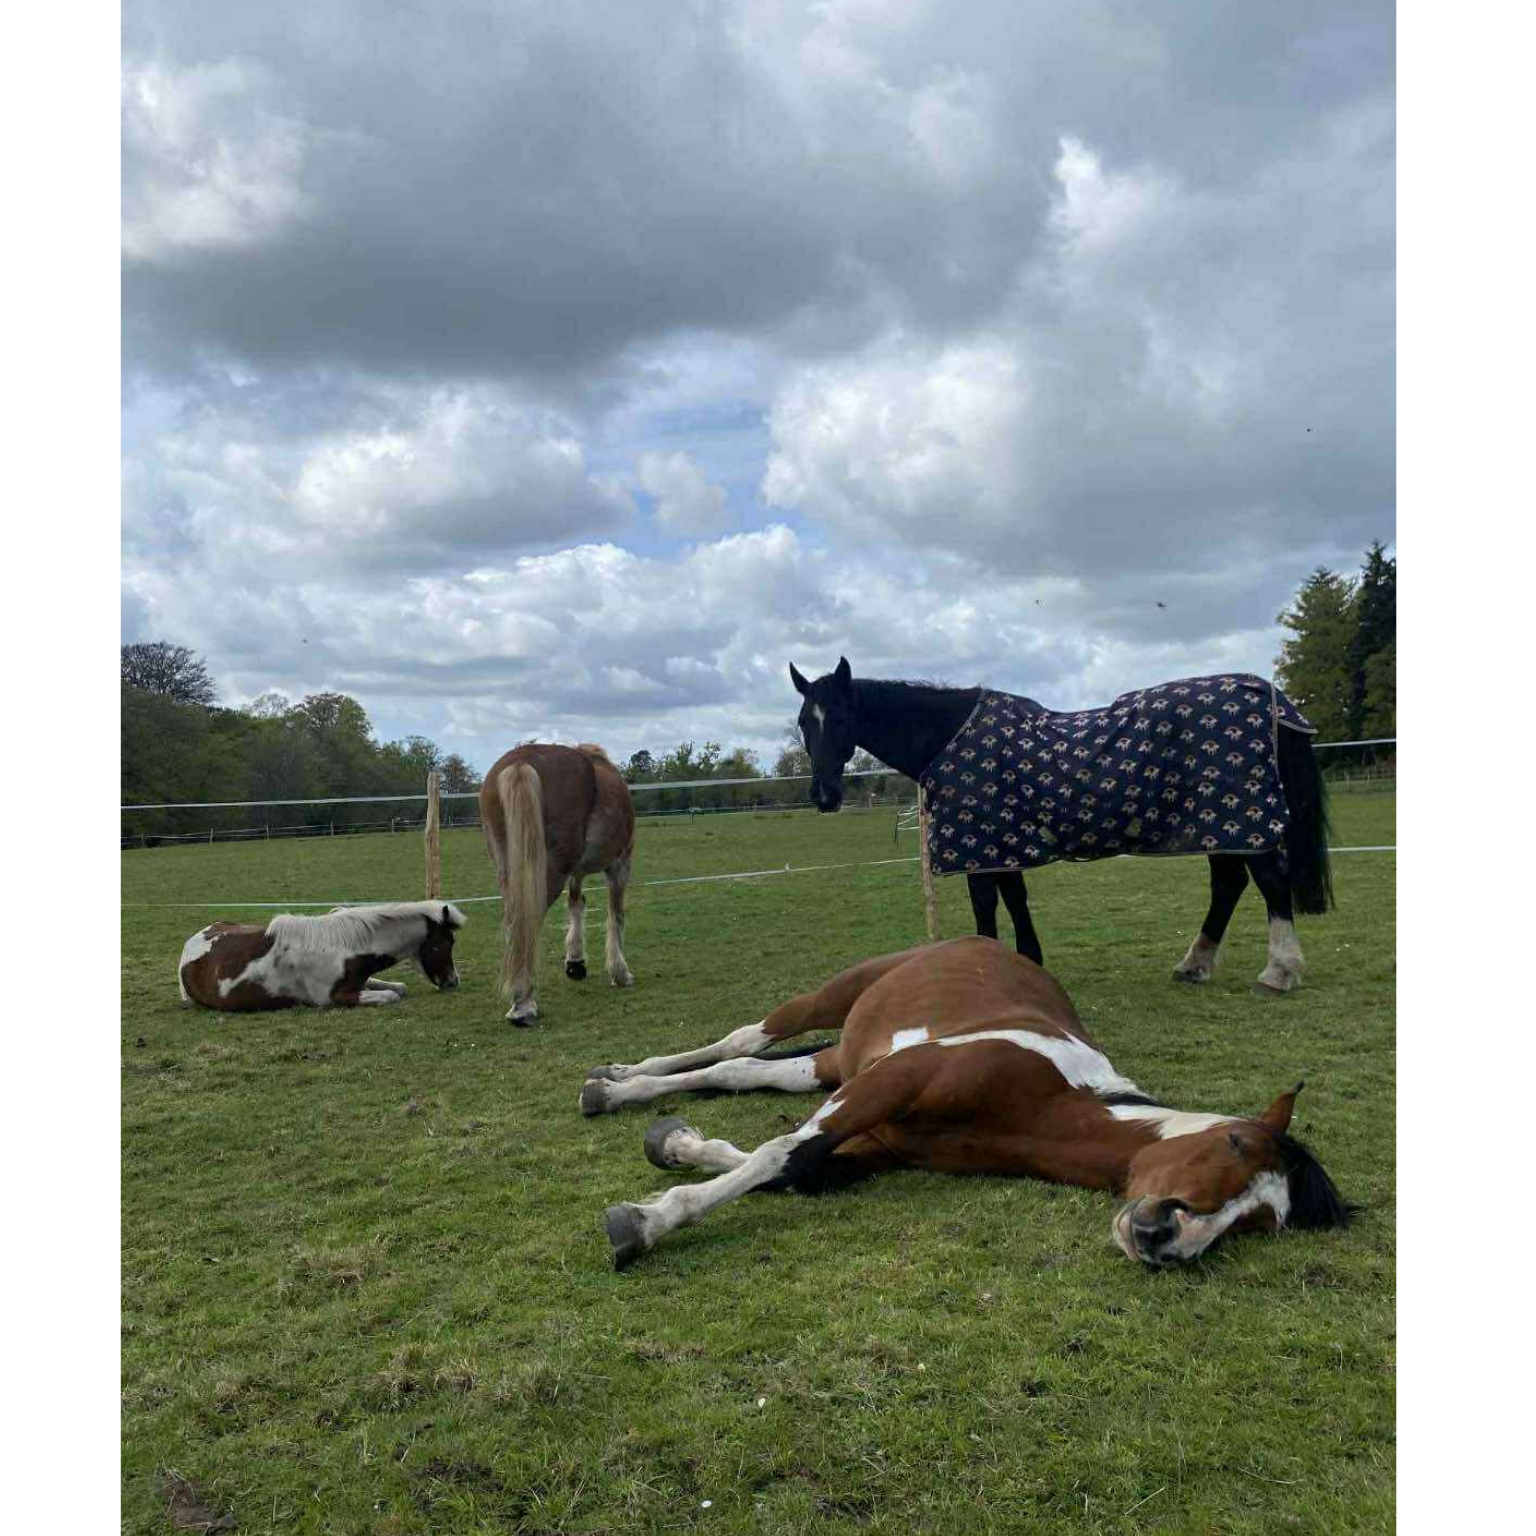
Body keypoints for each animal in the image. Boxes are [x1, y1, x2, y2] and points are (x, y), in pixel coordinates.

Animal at [177, 901, 466, 1011]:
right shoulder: (335, 998)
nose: (453, 982)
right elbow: (390, 996)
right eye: (442, 945)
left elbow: (400, 987)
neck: (341, 947)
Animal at [479, 742, 636, 1025]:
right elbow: (616, 915)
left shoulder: (576, 872)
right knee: (528, 923)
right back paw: (523, 1004)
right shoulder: (620, 865)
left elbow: (576, 903)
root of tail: (520, 763)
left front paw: (575, 962)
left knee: (514, 923)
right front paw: (620, 973)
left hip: (510, 871)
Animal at [582, 938, 1352, 1269]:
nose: (1168, 1236)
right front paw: (644, 1224)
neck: (1043, 1104)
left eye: (1261, 1222)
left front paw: (678, 1147)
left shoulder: (879, 1136)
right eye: (1234, 1143)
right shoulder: (892, 1082)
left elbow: (794, 1165)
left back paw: (622, 1087)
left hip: (834, 1063)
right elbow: (780, 1152)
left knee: (746, 1068)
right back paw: (618, 1080)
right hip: (832, 1000)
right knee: (745, 1037)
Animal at [790, 657, 1332, 996]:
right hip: (1219, 825)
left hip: (1240, 817)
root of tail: (1266, 696)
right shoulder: (1002, 841)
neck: (949, 737)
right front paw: (1027, 958)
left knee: (1269, 881)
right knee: (1229, 884)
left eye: (841, 718)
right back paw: (1193, 965)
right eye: (802, 721)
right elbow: (1014, 897)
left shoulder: (982, 842)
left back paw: (1280, 971)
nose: (823, 795)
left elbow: (987, 903)